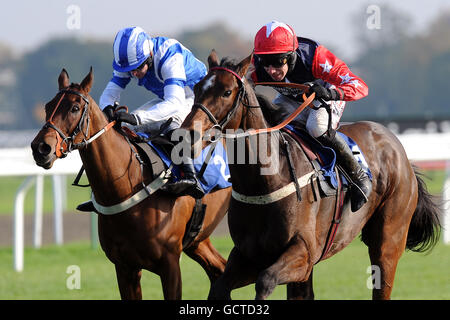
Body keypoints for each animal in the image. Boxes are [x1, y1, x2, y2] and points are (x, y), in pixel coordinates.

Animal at [30, 67, 232, 300]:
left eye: (75, 108)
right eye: (48, 106)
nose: (41, 148)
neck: (127, 187)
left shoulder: (170, 264)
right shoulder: (125, 267)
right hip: (197, 240)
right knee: (219, 270)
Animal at [179, 52, 440, 300]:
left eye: (227, 92)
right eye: (197, 88)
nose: (188, 133)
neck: (264, 181)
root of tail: (396, 146)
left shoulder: (303, 253)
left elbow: (265, 282)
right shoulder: (248, 255)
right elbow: (219, 287)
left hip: (388, 240)